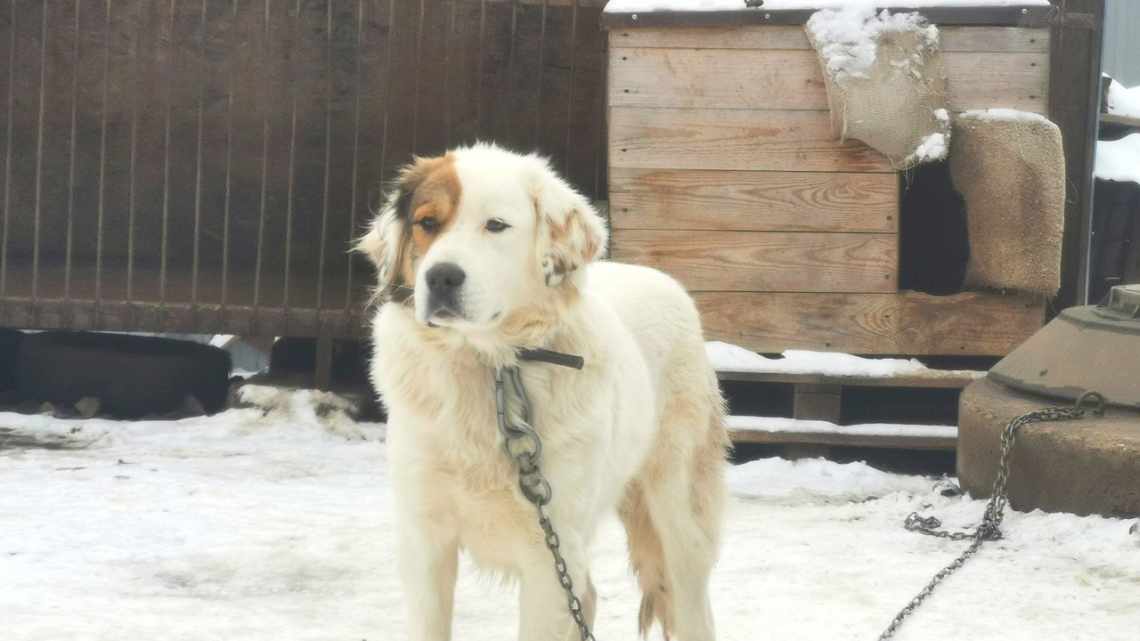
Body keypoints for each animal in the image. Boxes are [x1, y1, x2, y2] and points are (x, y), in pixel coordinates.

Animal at [357, 144, 729, 638]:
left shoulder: (549, 546)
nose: (440, 277)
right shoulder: (425, 540)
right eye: (428, 223)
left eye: (495, 225)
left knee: (691, 602)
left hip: (677, 511)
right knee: (587, 597)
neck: (491, 368)